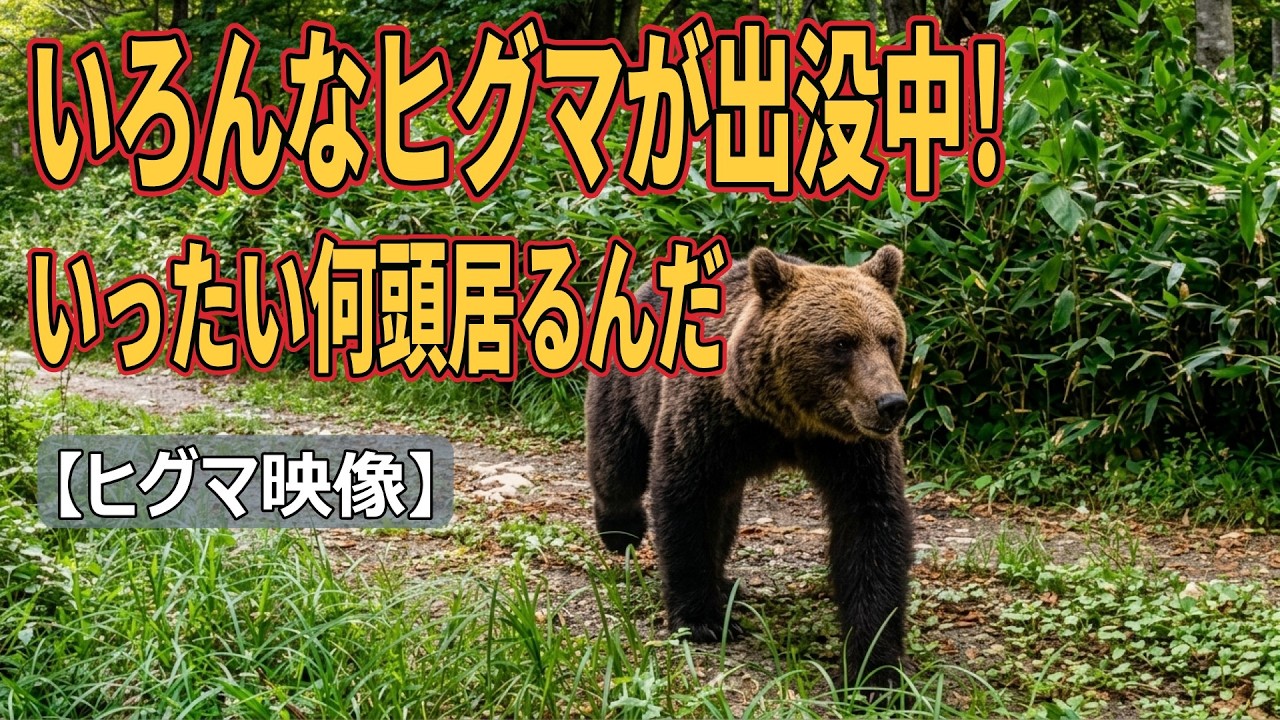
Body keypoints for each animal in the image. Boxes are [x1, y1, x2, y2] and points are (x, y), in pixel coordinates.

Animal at [585, 244, 914, 688]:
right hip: (626, 383)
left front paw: (875, 667)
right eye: (841, 342)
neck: (785, 420)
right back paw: (621, 530)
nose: (891, 404)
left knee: (726, 509)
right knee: (617, 463)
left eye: (889, 338)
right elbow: (686, 499)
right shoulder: (709, 421)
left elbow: (870, 528)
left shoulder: (849, 448)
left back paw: (724, 583)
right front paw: (700, 618)